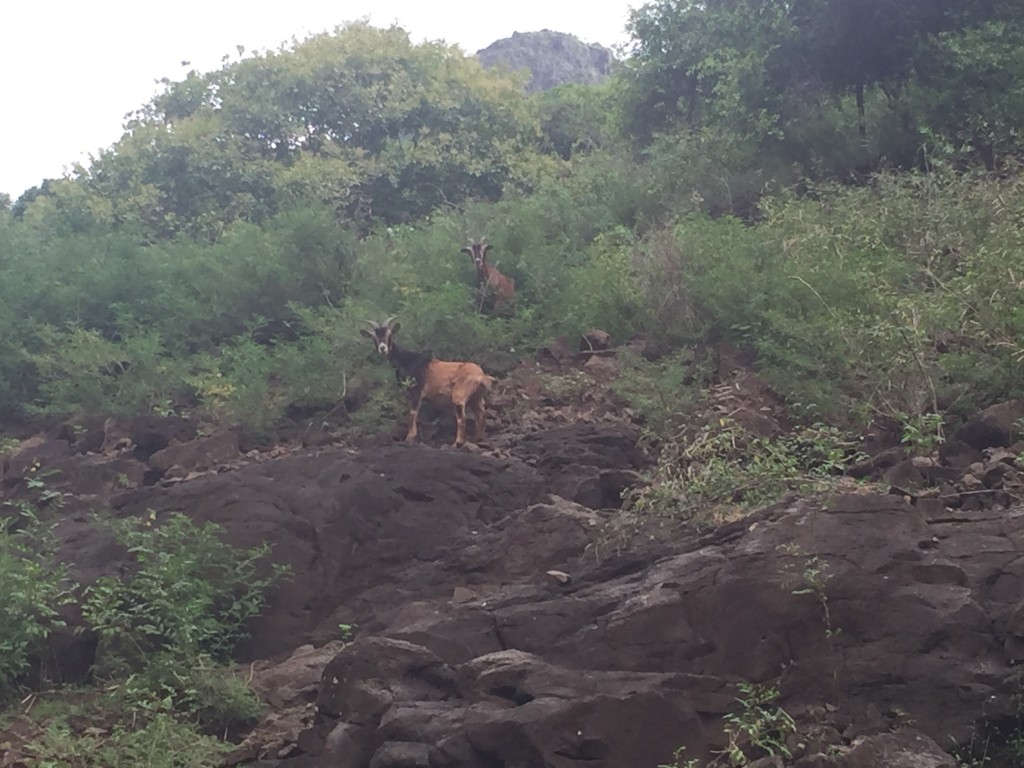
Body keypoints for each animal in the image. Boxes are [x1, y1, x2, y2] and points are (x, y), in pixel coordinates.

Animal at [362, 317, 497, 448]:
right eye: (374, 337)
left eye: (389, 334)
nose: (383, 348)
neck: (407, 360)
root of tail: (481, 375)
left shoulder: (416, 391)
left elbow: (413, 412)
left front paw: (410, 437)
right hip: (476, 397)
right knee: (481, 413)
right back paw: (479, 439)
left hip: (460, 394)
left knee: (462, 417)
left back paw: (457, 443)